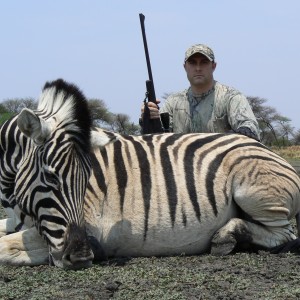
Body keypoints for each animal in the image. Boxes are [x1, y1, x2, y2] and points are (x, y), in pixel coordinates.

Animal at [0, 79, 300, 270]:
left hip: (255, 194)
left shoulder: (83, 229)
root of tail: (261, 146)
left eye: (87, 181)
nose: (83, 256)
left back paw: (226, 237)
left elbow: (4, 248)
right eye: (50, 177)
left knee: (283, 235)